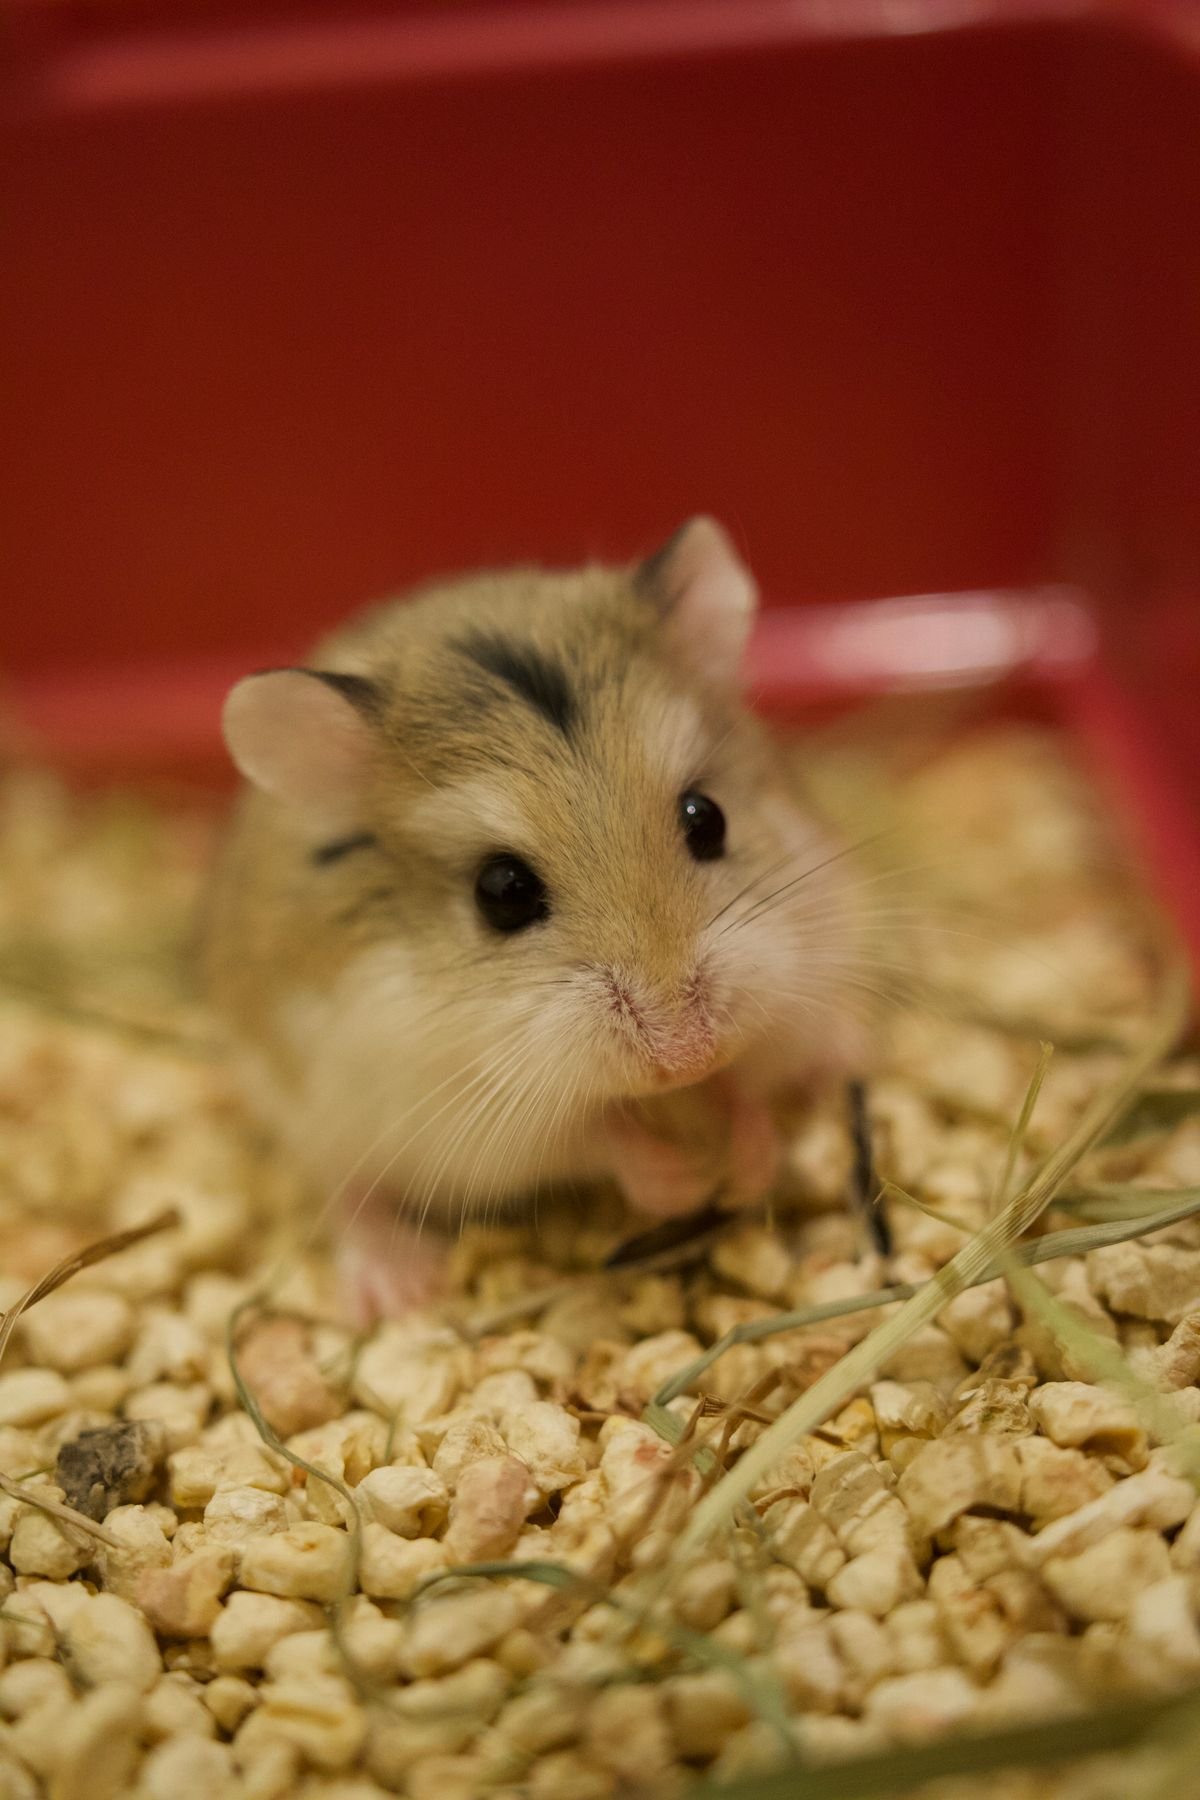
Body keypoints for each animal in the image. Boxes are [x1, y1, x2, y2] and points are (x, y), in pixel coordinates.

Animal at [203, 519, 866, 1318]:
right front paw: (682, 1184)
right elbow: (594, 1136)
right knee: (346, 1192)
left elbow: (745, 1092)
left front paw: (745, 1168)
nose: (687, 1056)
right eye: (503, 892)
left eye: (707, 818)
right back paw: (400, 1290)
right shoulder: (468, 1111)